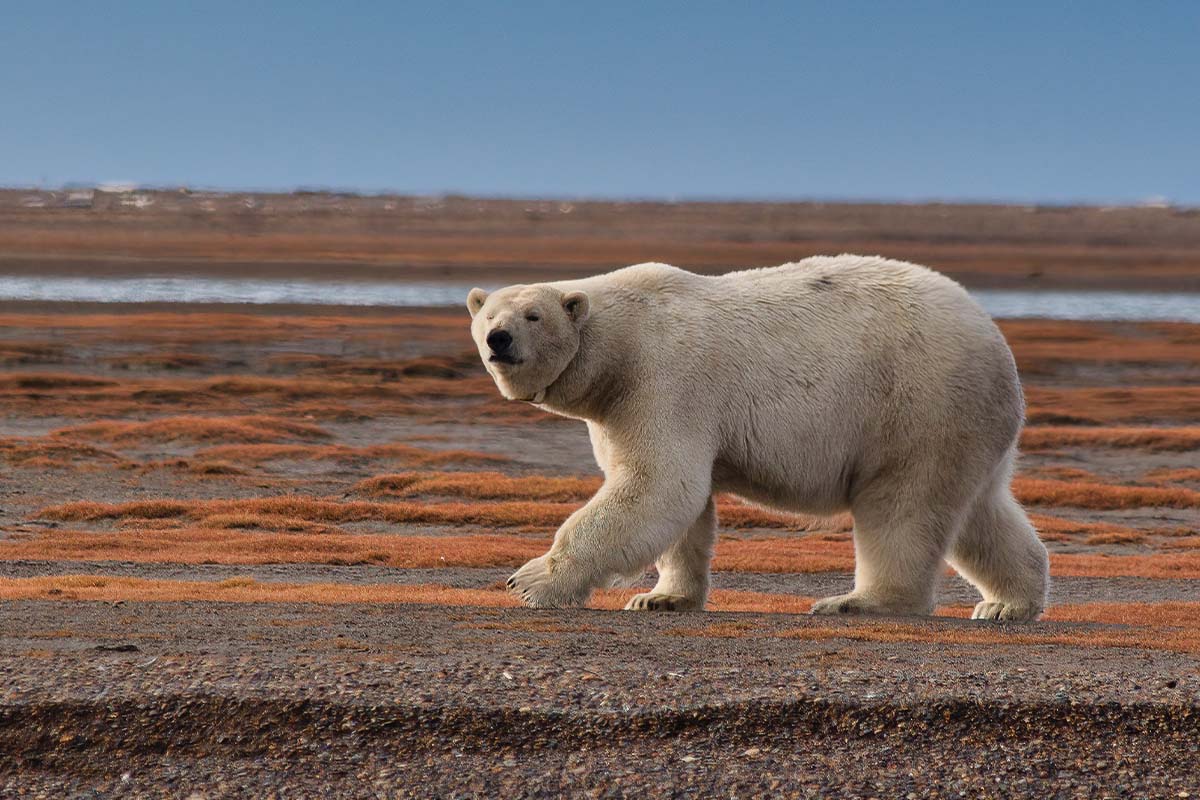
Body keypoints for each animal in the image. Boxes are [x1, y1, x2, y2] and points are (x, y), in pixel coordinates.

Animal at [463, 255, 1046, 618]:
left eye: (533, 315)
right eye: (488, 314)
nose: (499, 339)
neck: (617, 347)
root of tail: (995, 339)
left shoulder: (663, 380)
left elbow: (658, 485)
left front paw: (530, 581)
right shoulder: (620, 407)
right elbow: (680, 505)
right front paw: (661, 598)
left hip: (916, 405)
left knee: (901, 507)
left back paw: (857, 601)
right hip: (966, 425)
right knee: (982, 511)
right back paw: (1008, 603)